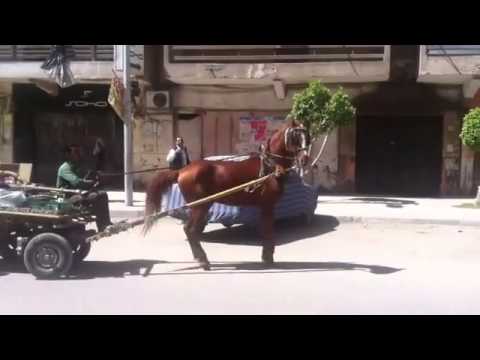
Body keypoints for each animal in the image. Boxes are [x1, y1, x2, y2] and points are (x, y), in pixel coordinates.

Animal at [144, 119, 310, 270]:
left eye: (307, 136)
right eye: (295, 136)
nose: (305, 159)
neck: (270, 167)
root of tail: (181, 170)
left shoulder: (265, 207)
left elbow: (266, 230)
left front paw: (267, 256)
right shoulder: (268, 205)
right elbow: (268, 230)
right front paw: (268, 257)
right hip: (200, 206)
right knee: (190, 230)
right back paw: (203, 260)